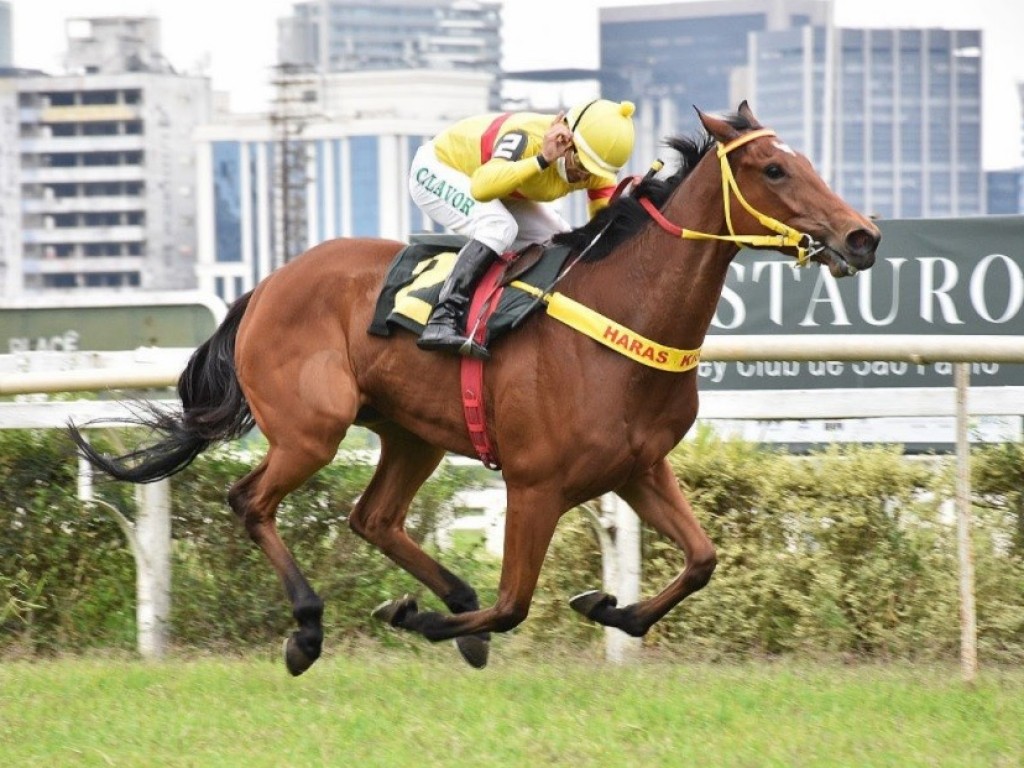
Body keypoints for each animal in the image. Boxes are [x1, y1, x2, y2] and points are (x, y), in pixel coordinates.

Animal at [68, 102, 880, 671]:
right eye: (774, 170)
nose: (863, 235)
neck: (622, 311)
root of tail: (266, 285)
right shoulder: (535, 484)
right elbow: (515, 603)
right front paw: (419, 620)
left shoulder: (639, 466)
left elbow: (704, 560)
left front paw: (607, 608)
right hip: (312, 430)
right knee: (251, 501)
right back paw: (309, 628)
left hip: (410, 433)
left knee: (373, 518)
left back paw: (448, 595)